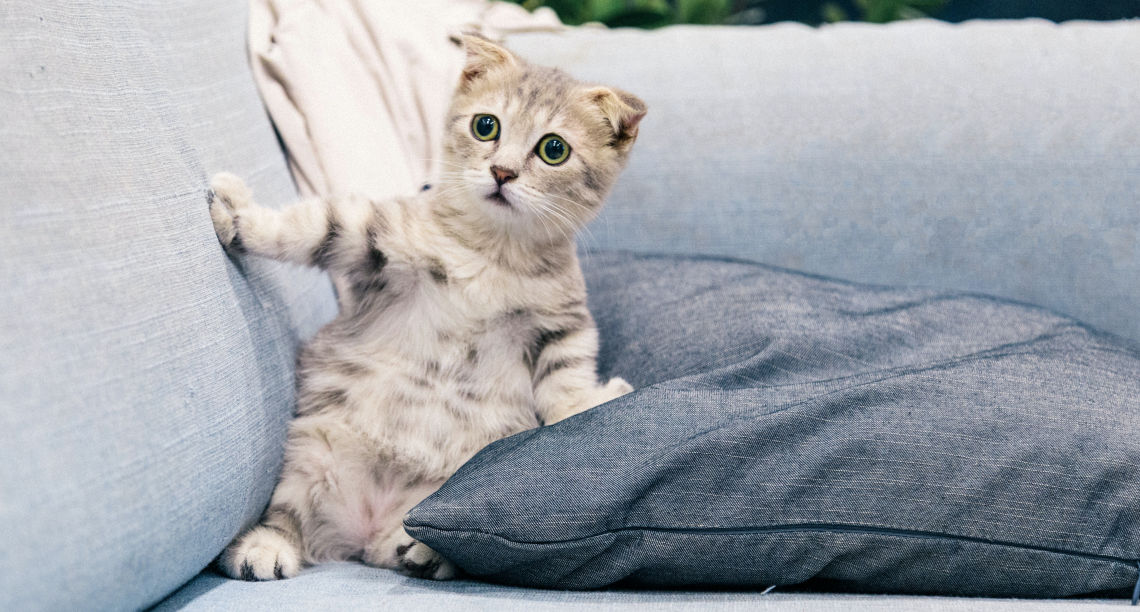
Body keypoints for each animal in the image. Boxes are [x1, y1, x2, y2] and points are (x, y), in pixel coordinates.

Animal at [206, 34, 647, 581]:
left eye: (553, 149)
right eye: (486, 126)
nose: (502, 172)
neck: (494, 252)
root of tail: (365, 528)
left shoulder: (562, 323)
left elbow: (565, 380)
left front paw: (584, 406)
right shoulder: (377, 239)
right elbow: (313, 226)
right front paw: (237, 216)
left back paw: (420, 550)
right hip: (311, 450)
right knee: (288, 514)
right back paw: (265, 547)